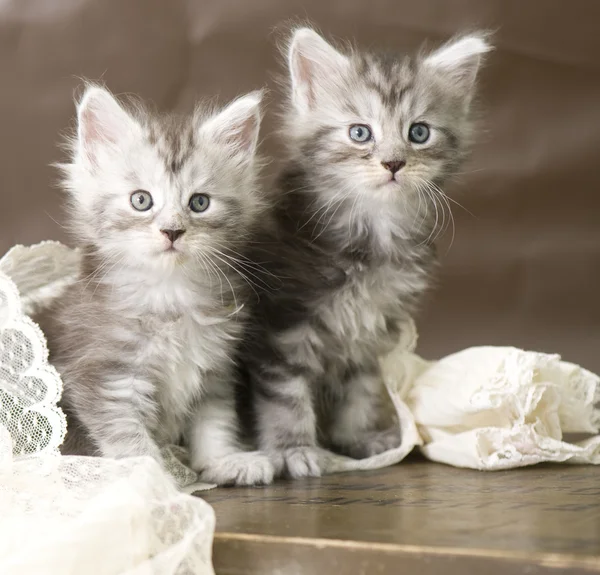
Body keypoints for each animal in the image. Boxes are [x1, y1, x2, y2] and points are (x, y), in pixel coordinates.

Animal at [44, 82, 274, 486]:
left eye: (199, 203)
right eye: (141, 200)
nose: (172, 231)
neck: (170, 293)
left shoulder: (213, 371)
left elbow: (215, 422)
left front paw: (223, 461)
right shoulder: (107, 379)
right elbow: (129, 440)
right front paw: (155, 482)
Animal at [241, 27, 490, 480]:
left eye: (419, 133)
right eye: (360, 133)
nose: (393, 163)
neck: (374, 232)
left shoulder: (372, 333)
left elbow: (360, 392)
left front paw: (359, 439)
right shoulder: (282, 327)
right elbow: (285, 398)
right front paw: (292, 449)